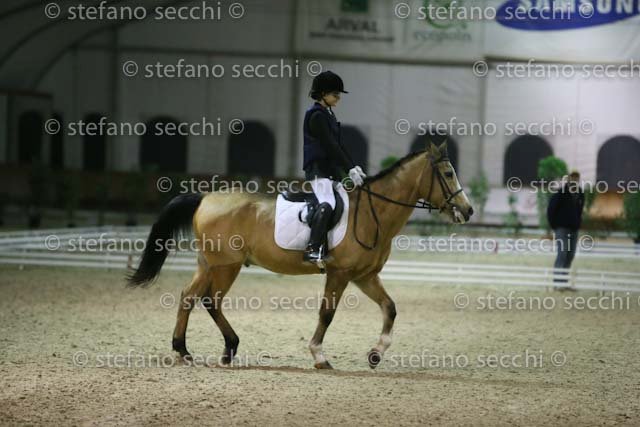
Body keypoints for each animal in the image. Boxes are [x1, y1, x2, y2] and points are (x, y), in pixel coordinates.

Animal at [126, 142, 473, 369]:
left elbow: (390, 308)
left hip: (209, 264)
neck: (372, 213)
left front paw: (376, 353)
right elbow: (327, 314)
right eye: (447, 173)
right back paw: (227, 348)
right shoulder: (339, 274)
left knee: (188, 296)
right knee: (211, 300)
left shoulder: (364, 276)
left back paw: (185, 351)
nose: (468, 211)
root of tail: (205, 198)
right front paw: (319, 356)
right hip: (227, 266)